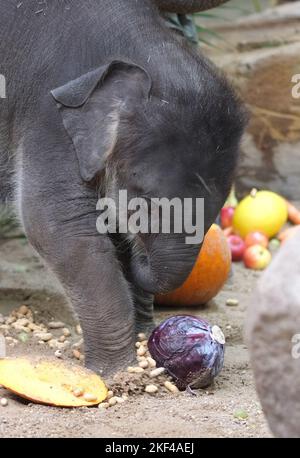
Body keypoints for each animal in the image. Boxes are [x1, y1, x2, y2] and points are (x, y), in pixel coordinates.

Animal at [0, 0, 246, 376]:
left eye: (222, 205)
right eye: (142, 197)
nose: (140, 253)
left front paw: (142, 337)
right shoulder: (47, 119)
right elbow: (59, 228)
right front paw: (116, 372)